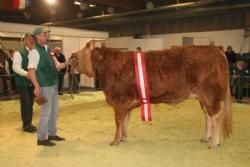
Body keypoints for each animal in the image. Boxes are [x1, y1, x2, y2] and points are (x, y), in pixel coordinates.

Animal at [73, 40, 231, 149]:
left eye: (78, 55)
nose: (70, 59)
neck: (108, 67)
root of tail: (216, 49)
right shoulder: (125, 104)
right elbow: (125, 120)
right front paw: (124, 137)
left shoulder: (118, 101)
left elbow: (118, 122)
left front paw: (115, 140)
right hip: (202, 97)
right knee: (208, 116)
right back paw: (206, 138)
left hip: (209, 94)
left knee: (216, 116)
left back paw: (214, 143)